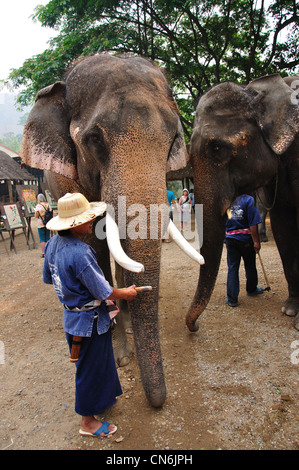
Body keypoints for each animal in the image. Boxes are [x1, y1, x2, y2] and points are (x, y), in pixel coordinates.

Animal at [20, 52, 204, 408]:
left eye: (173, 141)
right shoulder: (65, 180)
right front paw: (120, 355)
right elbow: (94, 250)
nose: (158, 402)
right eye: (94, 139)